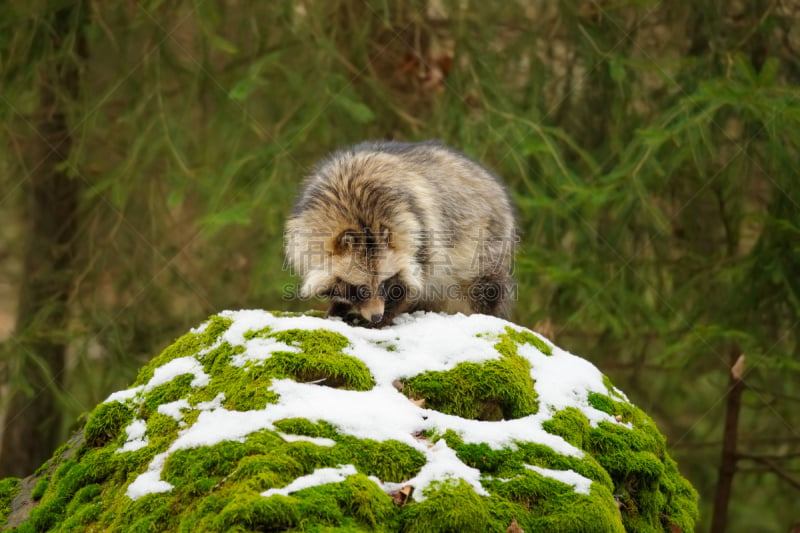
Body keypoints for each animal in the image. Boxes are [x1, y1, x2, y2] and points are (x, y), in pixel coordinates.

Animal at [284, 139, 516, 326]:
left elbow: (411, 283)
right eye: (360, 289)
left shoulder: (420, 231)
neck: (359, 215)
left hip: (485, 246)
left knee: (485, 289)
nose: (376, 316)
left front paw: (384, 318)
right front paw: (337, 308)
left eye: (384, 284)